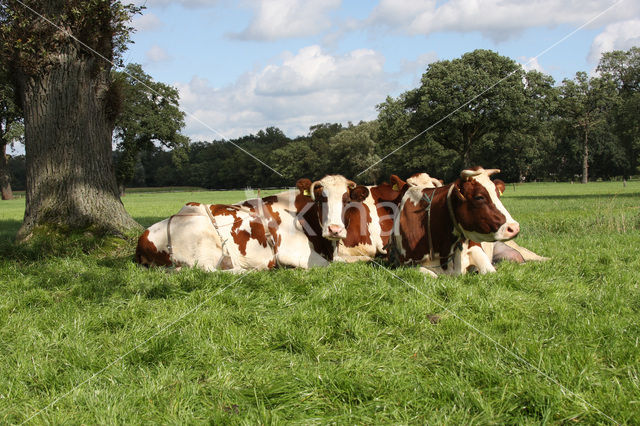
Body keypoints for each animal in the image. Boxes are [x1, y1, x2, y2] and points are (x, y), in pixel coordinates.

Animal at [134, 175, 370, 272]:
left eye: (347, 200)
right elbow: (329, 266)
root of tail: (143, 237)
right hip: (202, 243)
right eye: (322, 199)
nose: (335, 229)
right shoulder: (293, 253)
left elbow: (362, 259)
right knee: (208, 272)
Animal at [392, 166, 524, 276]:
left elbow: (490, 271)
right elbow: (430, 274)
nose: (514, 228)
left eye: (498, 194)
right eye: (479, 197)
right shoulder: (407, 265)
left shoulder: (476, 249)